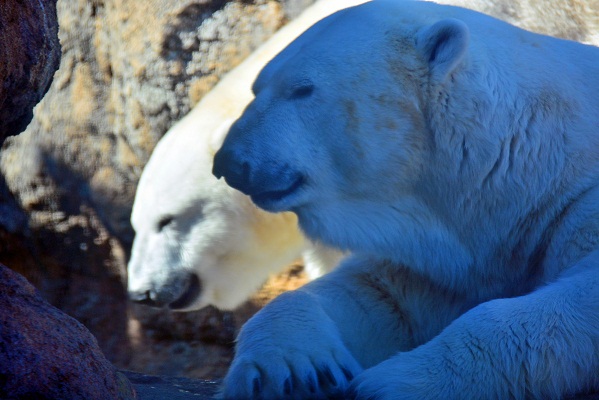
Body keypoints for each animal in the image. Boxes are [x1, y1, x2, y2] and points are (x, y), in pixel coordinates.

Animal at [213, 0, 599, 396]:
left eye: (303, 89)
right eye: (257, 87)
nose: (228, 162)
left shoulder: (575, 203)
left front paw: (388, 383)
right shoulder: (435, 263)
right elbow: (375, 295)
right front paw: (291, 370)